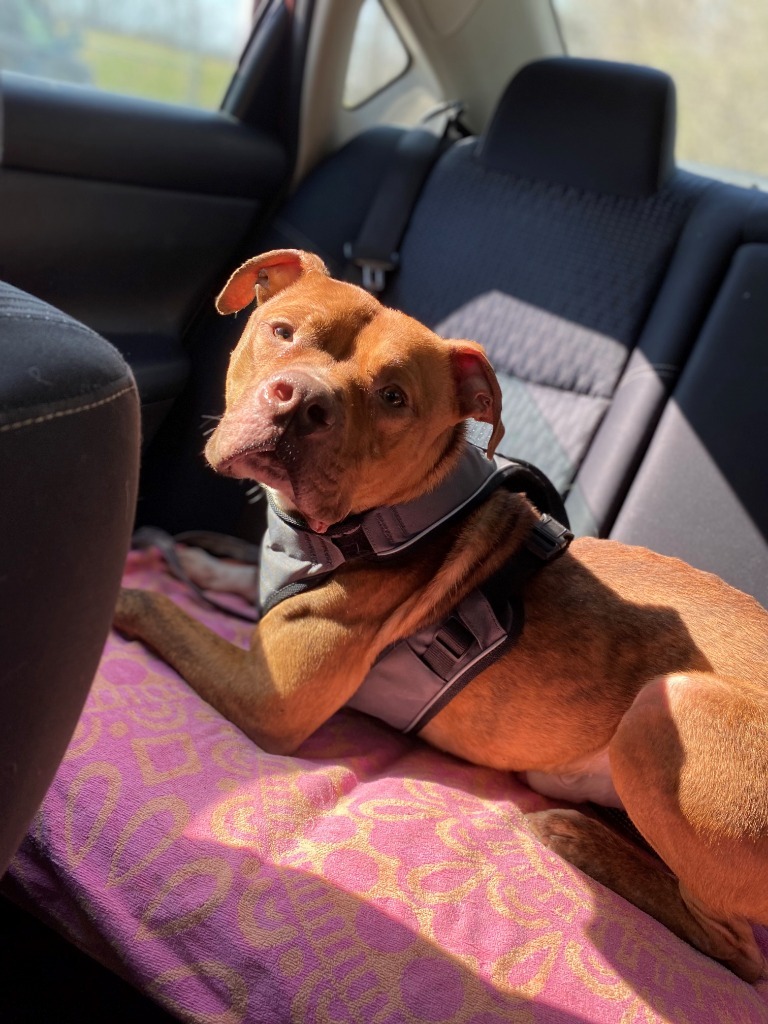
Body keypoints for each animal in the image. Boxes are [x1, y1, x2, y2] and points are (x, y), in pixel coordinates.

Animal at [114, 249, 768, 983]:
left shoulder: (270, 701)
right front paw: (201, 564)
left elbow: (148, 602)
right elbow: (226, 581)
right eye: (282, 332)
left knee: (736, 946)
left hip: (671, 705)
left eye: (394, 398)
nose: (301, 402)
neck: (378, 526)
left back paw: (578, 838)